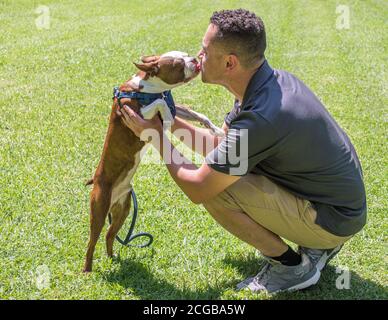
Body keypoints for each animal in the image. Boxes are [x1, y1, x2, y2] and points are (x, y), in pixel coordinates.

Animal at [84, 51, 224, 272]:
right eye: (178, 64)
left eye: (186, 55)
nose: (194, 59)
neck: (147, 88)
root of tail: (96, 181)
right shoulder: (136, 113)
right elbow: (162, 105)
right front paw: (166, 116)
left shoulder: (176, 107)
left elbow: (195, 113)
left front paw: (216, 129)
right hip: (99, 210)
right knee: (91, 242)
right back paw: (88, 271)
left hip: (123, 209)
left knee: (110, 235)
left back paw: (113, 257)